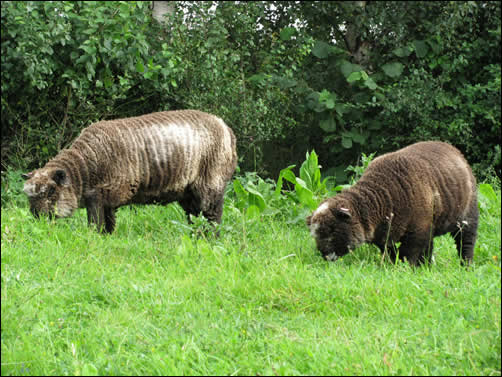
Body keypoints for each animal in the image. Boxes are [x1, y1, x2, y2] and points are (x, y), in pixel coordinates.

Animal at [21, 108, 237, 232]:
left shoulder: (98, 196)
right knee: (195, 217)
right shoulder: (106, 199)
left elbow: (95, 225)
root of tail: (226, 129)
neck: (85, 166)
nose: (36, 216)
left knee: (212, 217)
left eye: (51, 191)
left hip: (210, 185)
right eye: (28, 195)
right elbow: (108, 225)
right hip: (188, 194)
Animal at [306, 140, 478, 266]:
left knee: (466, 242)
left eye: (333, 229)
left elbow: (408, 253)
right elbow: (392, 253)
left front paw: (406, 268)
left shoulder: (416, 231)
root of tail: (451, 147)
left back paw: (466, 266)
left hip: (467, 215)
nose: (324, 255)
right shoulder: (386, 235)